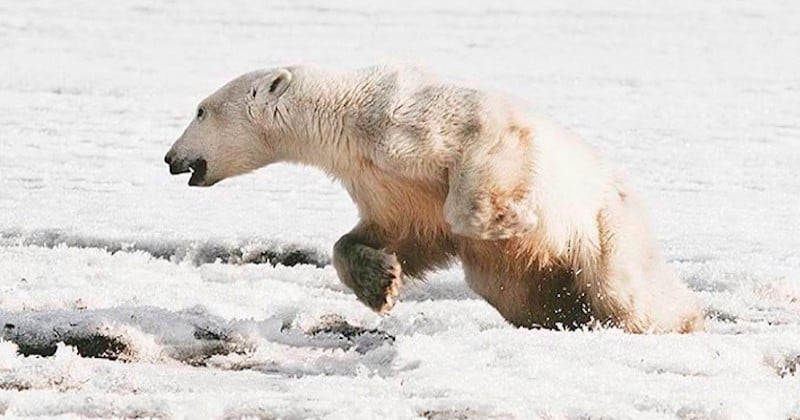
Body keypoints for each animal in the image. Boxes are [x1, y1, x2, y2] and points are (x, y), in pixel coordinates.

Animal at [166, 64, 704, 334]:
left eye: (200, 110)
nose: (170, 158)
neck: (347, 117)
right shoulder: (380, 178)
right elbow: (397, 232)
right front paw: (380, 285)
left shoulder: (414, 124)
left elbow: (480, 154)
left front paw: (505, 219)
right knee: (516, 291)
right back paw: (558, 316)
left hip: (604, 223)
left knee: (623, 289)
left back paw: (671, 320)